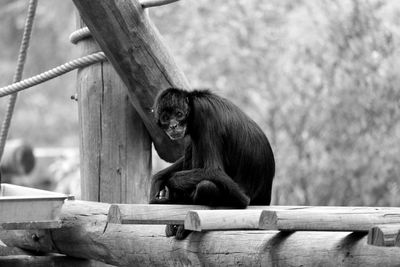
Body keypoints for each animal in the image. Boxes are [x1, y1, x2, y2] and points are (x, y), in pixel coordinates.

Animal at [150, 88, 276, 241]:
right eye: (165, 118)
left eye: (179, 115)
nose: (173, 125)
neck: (195, 104)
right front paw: (158, 178)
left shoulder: (205, 115)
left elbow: (214, 171)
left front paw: (170, 184)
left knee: (206, 186)